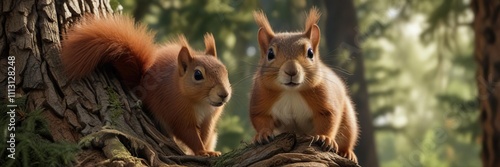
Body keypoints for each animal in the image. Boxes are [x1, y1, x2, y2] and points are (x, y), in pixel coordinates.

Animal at [62, 14, 232, 157]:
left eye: (225, 70)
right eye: (197, 75)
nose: (224, 94)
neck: (201, 102)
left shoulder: (210, 118)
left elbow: (205, 134)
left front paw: (209, 150)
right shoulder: (176, 111)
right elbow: (188, 133)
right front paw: (202, 151)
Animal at [250, 7, 360, 162]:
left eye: (310, 52)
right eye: (270, 54)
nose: (291, 71)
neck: (291, 91)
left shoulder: (323, 96)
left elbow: (329, 118)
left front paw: (325, 138)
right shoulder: (261, 97)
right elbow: (260, 118)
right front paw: (263, 134)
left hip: (349, 120)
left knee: (347, 137)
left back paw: (348, 153)